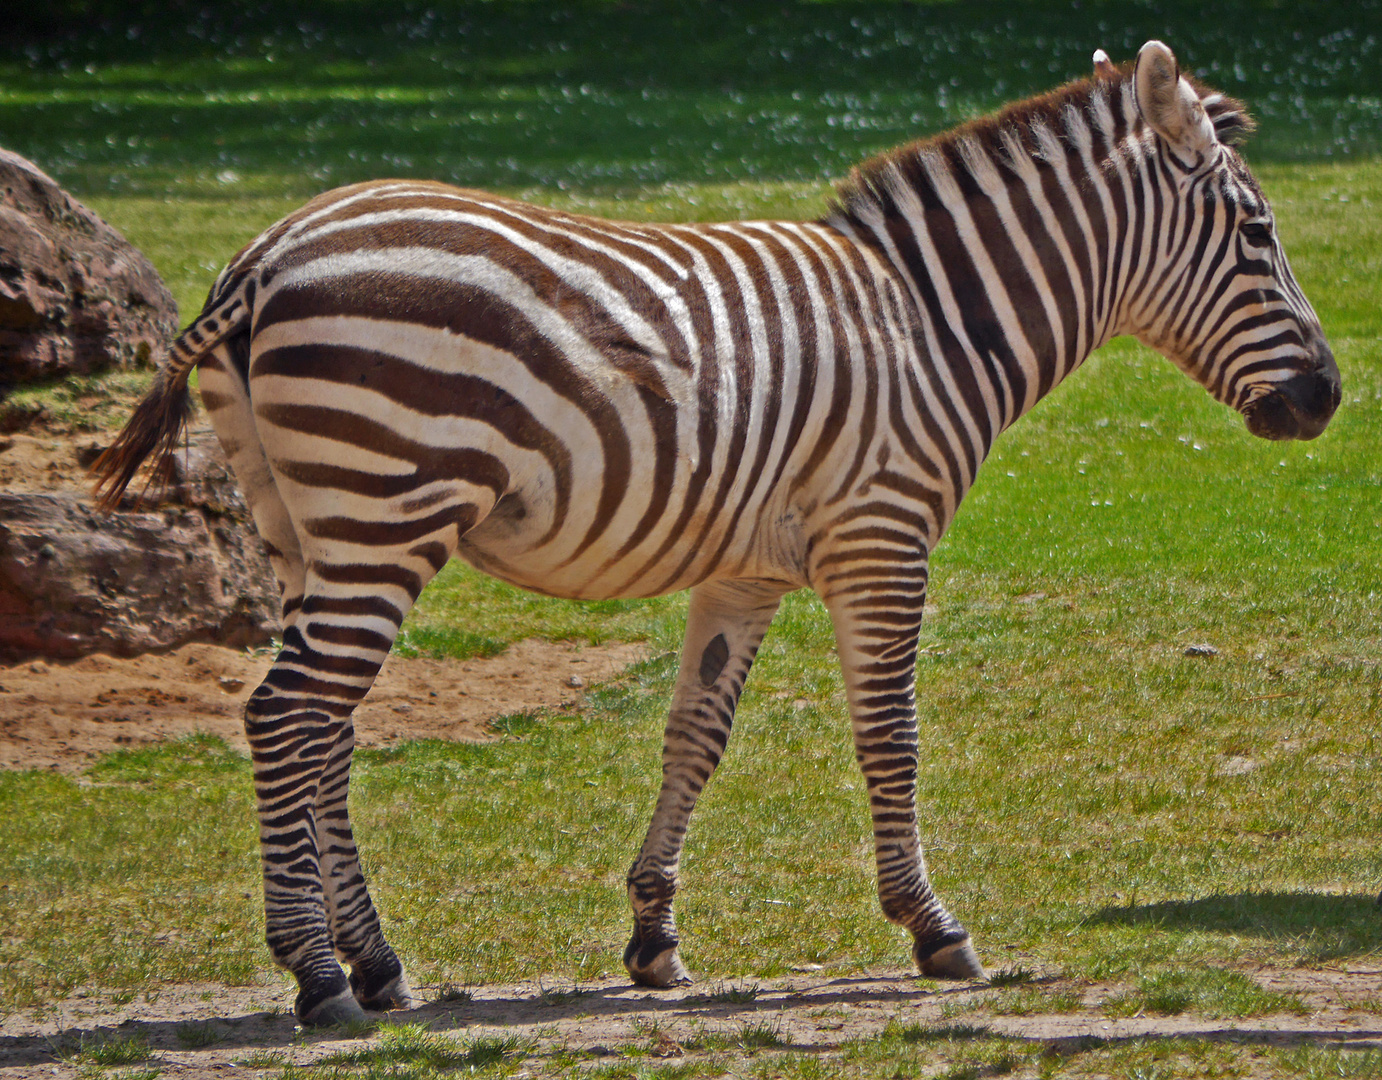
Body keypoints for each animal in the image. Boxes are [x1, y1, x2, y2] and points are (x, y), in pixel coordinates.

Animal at [91, 40, 1332, 1017]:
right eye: (1257, 232)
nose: (1323, 398)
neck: (934, 324)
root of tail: (266, 253)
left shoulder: (745, 572)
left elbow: (693, 736)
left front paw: (652, 941)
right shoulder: (881, 539)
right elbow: (890, 735)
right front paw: (932, 929)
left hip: (305, 526)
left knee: (327, 728)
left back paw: (379, 965)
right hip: (382, 510)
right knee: (286, 716)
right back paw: (316, 976)